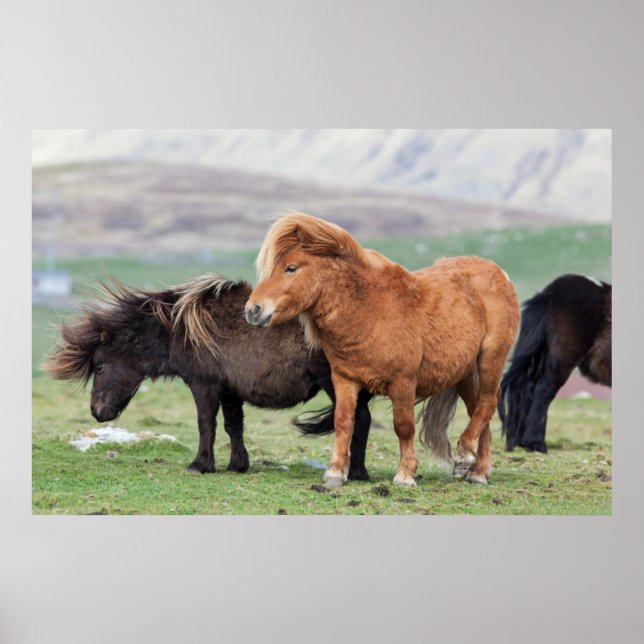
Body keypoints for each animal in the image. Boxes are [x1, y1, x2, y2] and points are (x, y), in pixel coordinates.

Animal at [45, 274, 373, 479]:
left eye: (99, 366)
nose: (97, 412)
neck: (181, 329)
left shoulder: (203, 384)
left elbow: (206, 424)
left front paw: (200, 465)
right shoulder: (229, 389)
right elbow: (233, 426)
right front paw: (237, 465)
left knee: (359, 419)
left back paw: (355, 473)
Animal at [245, 212, 520, 487]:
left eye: (291, 268)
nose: (253, 310)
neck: (370, 311)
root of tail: (498, 272)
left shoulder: (403, 382)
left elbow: (403, 426)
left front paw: (405, 474)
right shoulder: (344, 380)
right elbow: (343, 422)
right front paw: (335, 472)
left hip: (490, 358)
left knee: (487, 402)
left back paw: (465, 455)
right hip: (464, 372)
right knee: (478, 409)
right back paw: (477, 470)